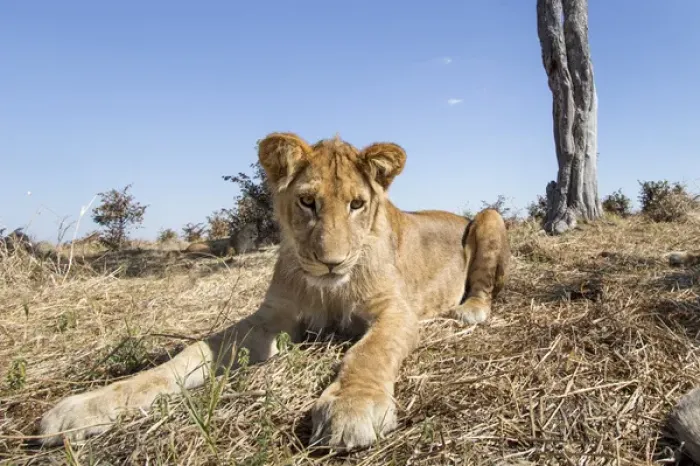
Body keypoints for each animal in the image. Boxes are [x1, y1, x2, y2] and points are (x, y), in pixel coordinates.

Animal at [36, 132, 510, 449]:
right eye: (307, 202)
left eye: (357, 204)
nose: (332, 262)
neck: (328, 288)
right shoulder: (271, 320)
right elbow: (188, 355)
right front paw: (86, 408)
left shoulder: (396, 310)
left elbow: (369, 351)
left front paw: (352, 407)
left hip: (489, 217)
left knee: (483, 285)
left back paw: (470, 310)